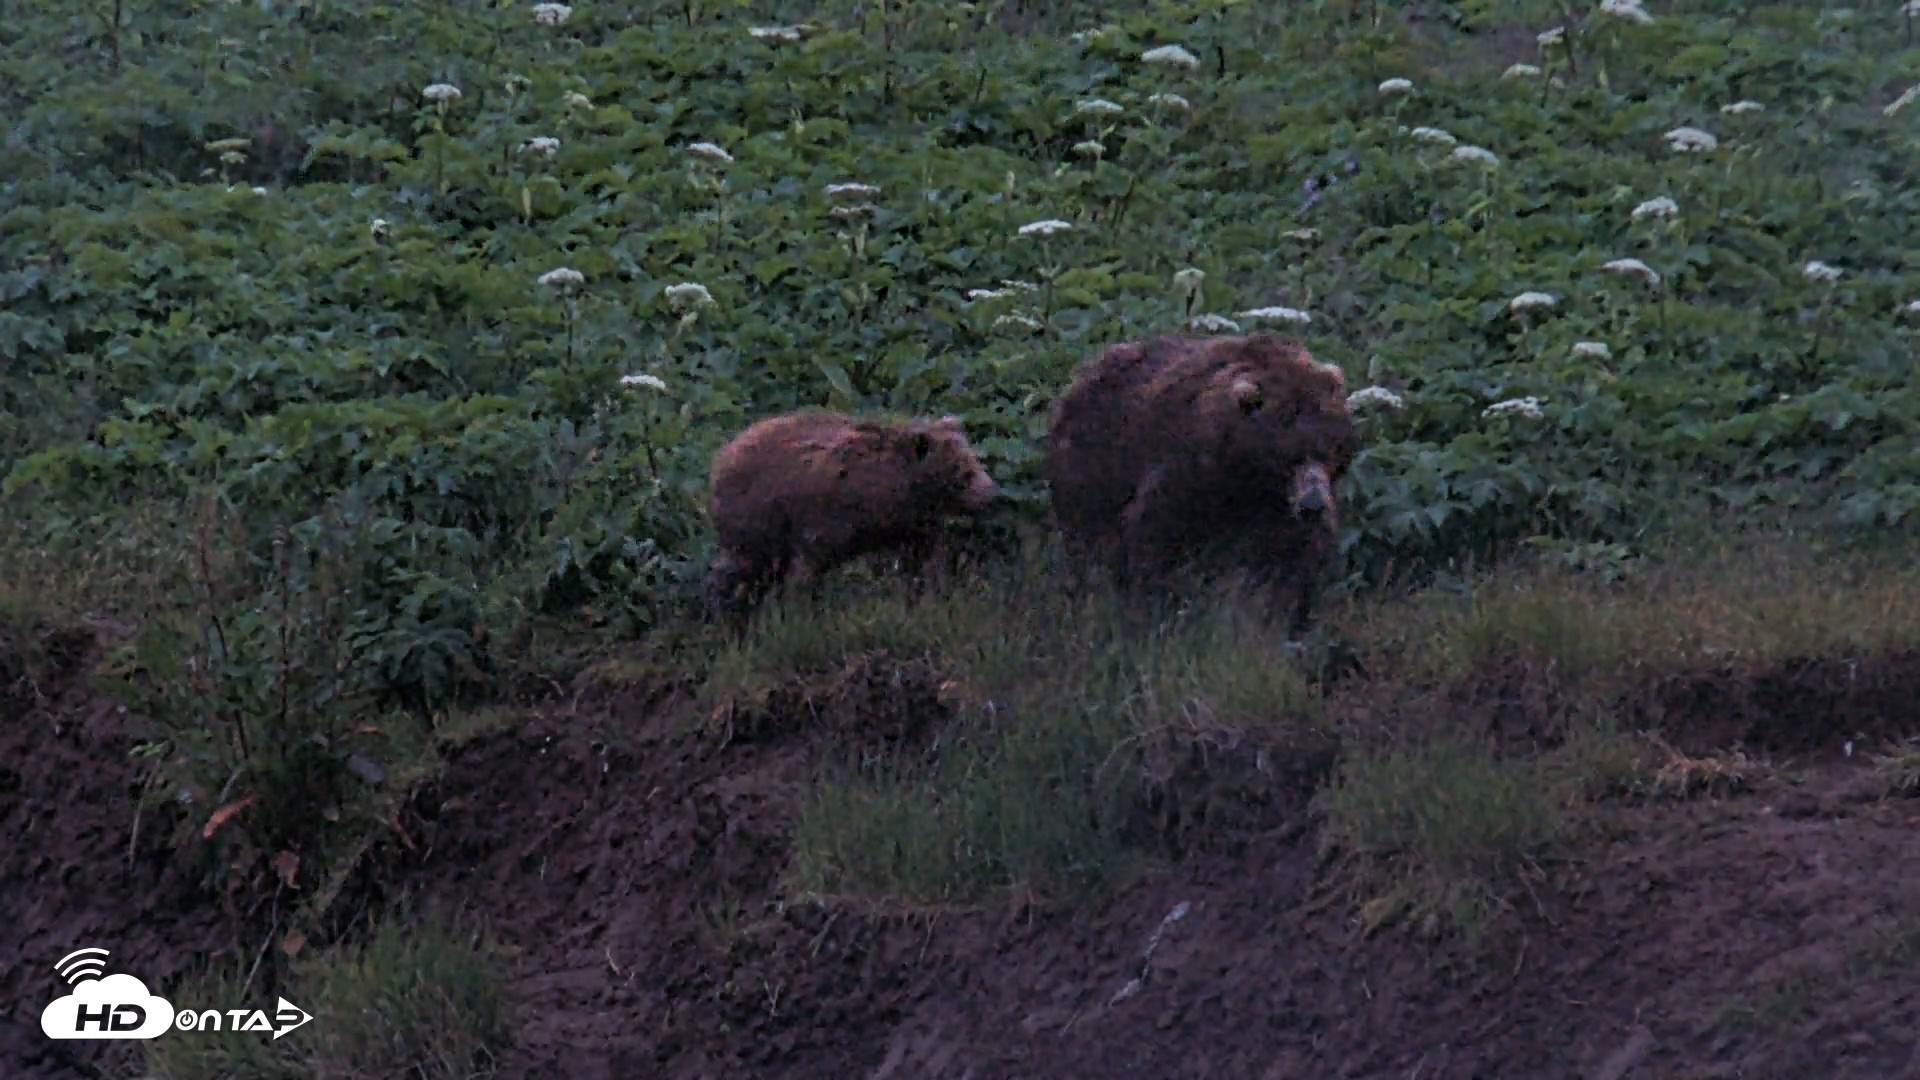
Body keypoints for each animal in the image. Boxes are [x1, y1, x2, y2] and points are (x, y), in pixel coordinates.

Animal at [704, 409, 1001, 620]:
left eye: (976, 460)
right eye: (963, 472)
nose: (991, 495)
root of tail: (722, 456)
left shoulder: (912, 523)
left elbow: (920, 560)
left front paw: (921, 597)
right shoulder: (824, 519)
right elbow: (808, 565)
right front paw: (802, 609)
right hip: (755, 517)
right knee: (742, 563)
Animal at [1041, 332, 1359, 633]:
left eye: (1334, 449)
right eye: (1289, 455)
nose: (1312, 505)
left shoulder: (1280, 510)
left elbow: (1293, 560)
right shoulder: (1188, 474)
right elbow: (1154, 533)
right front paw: (1157, 607)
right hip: (1092, 465)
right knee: (1089, 538)